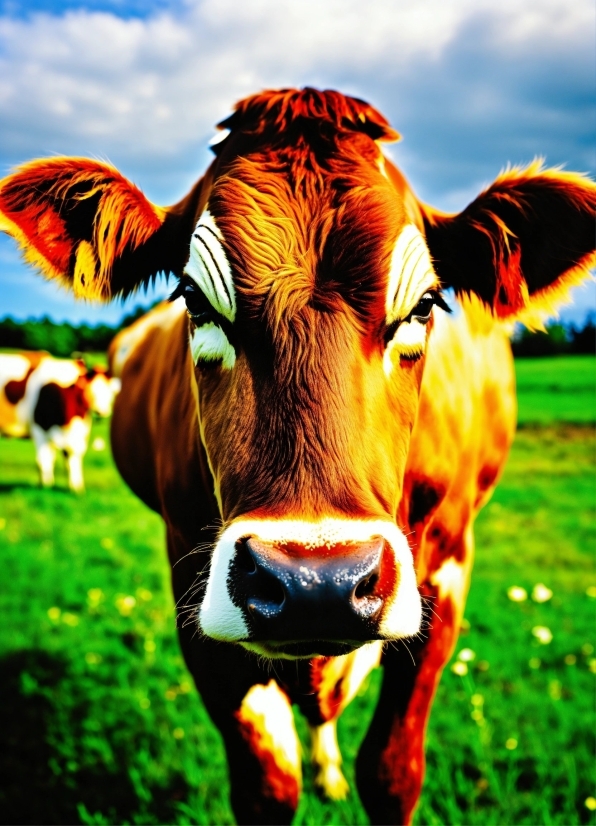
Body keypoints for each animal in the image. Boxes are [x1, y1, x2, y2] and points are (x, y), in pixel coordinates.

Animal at [0, 352, 120, 492]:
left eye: (111, 391)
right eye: (90, 390)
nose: (101, 412)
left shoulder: (79, 431)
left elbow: (72, 456)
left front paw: (76, 487)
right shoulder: (39, 429)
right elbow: (44, 460)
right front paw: (45, 487)